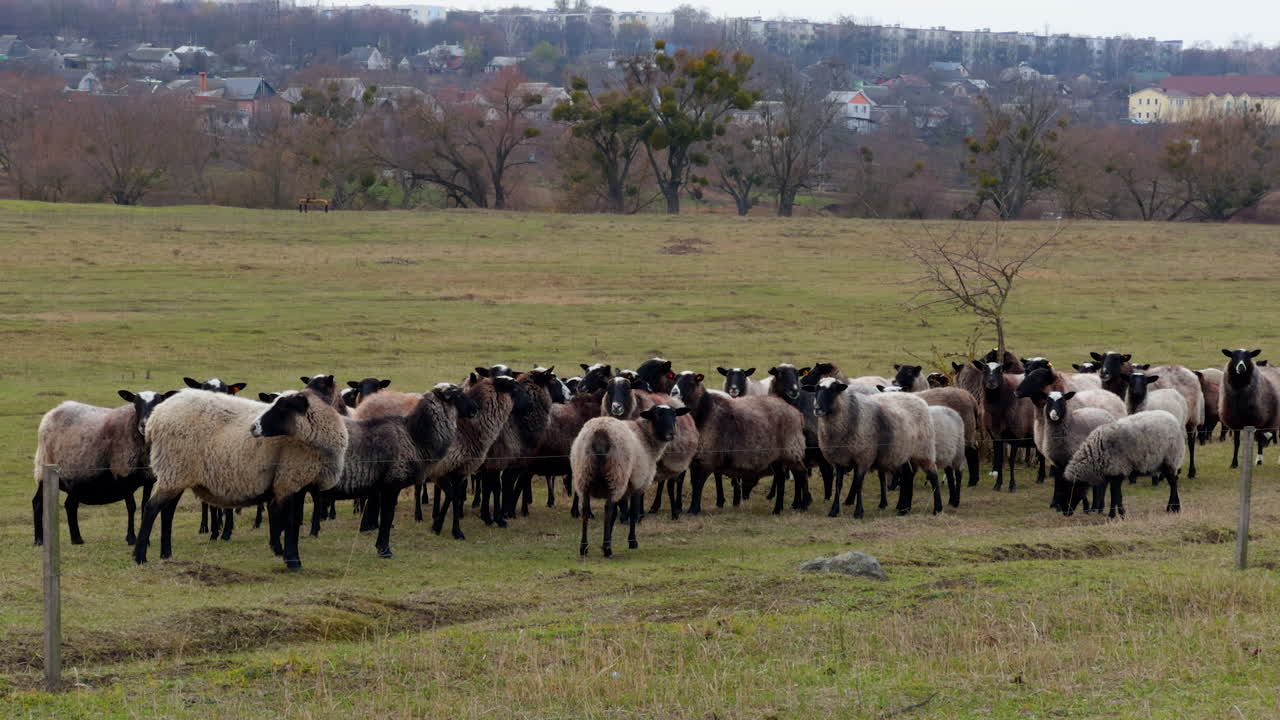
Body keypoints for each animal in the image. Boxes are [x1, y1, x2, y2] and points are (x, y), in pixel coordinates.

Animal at [32, 389, 177, 547]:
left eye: (158, 402)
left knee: (70, 505)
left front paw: (145, 540)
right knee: (38, 502)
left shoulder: (148, 478)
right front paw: (131, 538)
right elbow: (131, 506)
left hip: (74, 476)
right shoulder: (123, 473)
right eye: (135, 403)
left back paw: (77, 539)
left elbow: (145, 505)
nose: (144, 425)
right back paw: (39, 540)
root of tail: (52, 412)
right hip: (45, 471)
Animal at [135, 388, 348, 570]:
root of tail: (156, 417)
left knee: (167, 511)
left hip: (177, 474)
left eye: (283, 407)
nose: (253, 427)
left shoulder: (300, 484)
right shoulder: (289, 481)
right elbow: (290, 523)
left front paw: (286, 555)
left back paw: (166, 555)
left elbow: (288, 520)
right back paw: (140, 557)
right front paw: (293, 561)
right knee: (151, 508)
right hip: (174, 468)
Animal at [571, 405, 690, 557]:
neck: (645, 437)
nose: (671, 434)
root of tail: (600, 431)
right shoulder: (637, 483)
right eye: (657, 415)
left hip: (584, 473)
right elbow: (633, 513)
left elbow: (617, 514)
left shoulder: (625, 488)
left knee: (585, 509)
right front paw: (632, 542)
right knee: (608, 508)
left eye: (674, 416)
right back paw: (608, 549)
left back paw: (584, 547)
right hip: (616, 474)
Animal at [670, 371, 807, 515]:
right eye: (675, 379)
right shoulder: (696, 459)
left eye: (691, 382)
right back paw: (778, 509)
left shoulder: (707, 457)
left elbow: (698, 484)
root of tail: (797, 413)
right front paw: (692, 508)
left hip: (791, 450)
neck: (705, 413)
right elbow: (694, 482)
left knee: (801, 474)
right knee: (781, 479)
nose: (674, 392)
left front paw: (693, 510)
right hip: (778, 456)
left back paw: (802, 505)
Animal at [812, 378, 941, 518]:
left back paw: (937, 509)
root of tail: (917, 398)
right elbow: (838, 485)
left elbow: (858, 484)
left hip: (924, 449)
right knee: (908, 475)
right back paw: (904, 509)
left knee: (933, 475)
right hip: (903, 452)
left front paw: (858, 512)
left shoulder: (864, 456)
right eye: (816, 390)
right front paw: (834, 511)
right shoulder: (839, 459)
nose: (817, 409)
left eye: (833, 390)